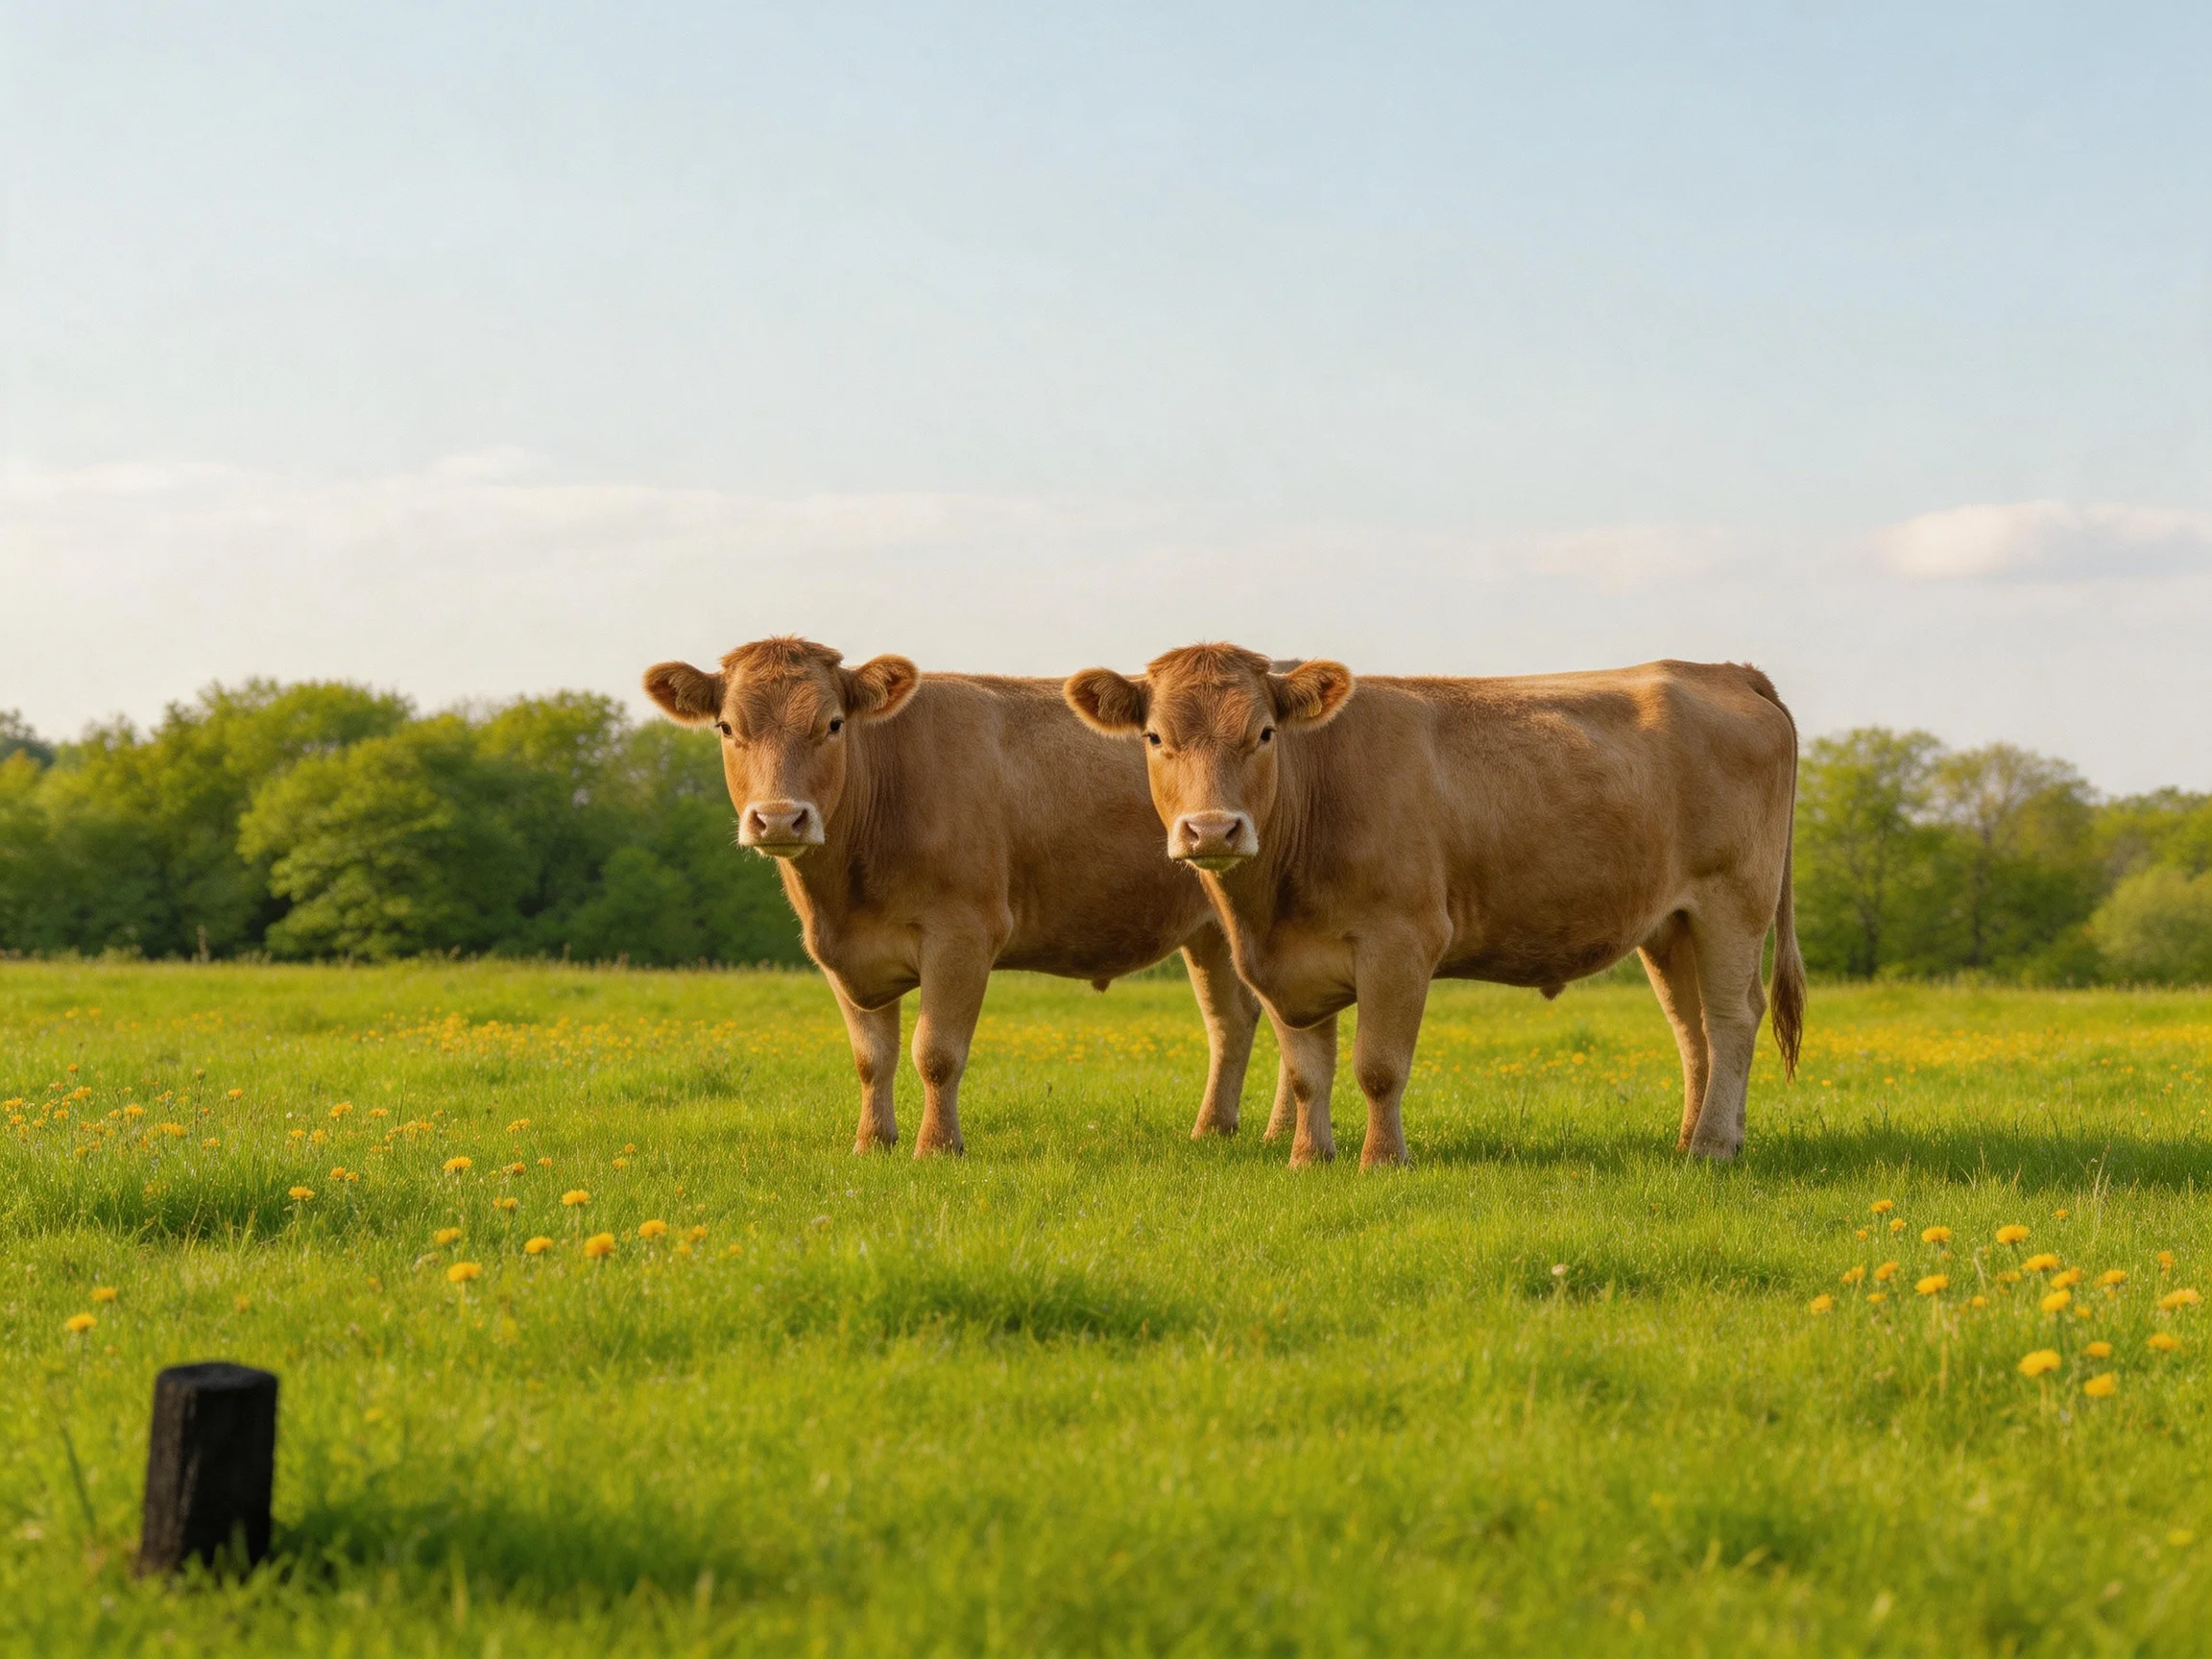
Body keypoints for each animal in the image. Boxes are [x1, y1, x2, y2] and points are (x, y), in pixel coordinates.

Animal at [642, 637, 1293, 1156]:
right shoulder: (842, 954)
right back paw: (1221, 1130)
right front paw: (871, 1143)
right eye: (728, 727)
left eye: (832, 724)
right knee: (1234, 1020)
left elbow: (936, 1051)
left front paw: (936, 1148)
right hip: (1211, 931)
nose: (779, 819)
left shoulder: (962, 934)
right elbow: (870, 1057)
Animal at [1064, 645, 1805, 1168]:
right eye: (1155, 738)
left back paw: (1712, 1146)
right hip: (1670, 924)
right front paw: (1308, 1159)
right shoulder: (1281, 966)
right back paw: (1694, 1140)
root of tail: (1725, 670)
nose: (1213, 830)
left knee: (1733, 1018)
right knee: (1693, 1029)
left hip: (1732, 901)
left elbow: (1378, 1066)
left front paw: (1381, 1161)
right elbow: (1306, 1073)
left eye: (1266, 733)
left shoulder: (1401, 941)